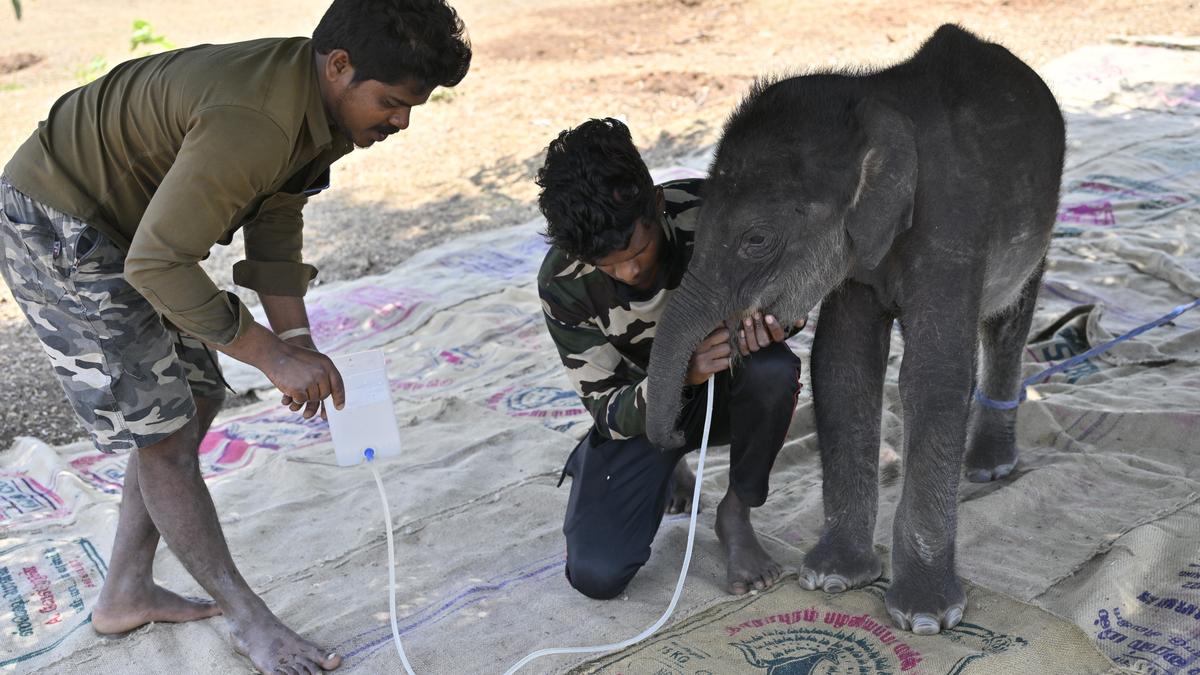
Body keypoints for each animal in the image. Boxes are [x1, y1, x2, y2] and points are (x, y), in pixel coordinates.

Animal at [645, 24, 1065, 634]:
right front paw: (831, 579)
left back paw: (989, 469)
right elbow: (843, 364)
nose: (676, 435)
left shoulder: (952, 220)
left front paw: (925, 617)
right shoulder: (855, 257)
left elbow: (934, 375)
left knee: (1009, 316)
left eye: (756, 239)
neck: (871, 100)